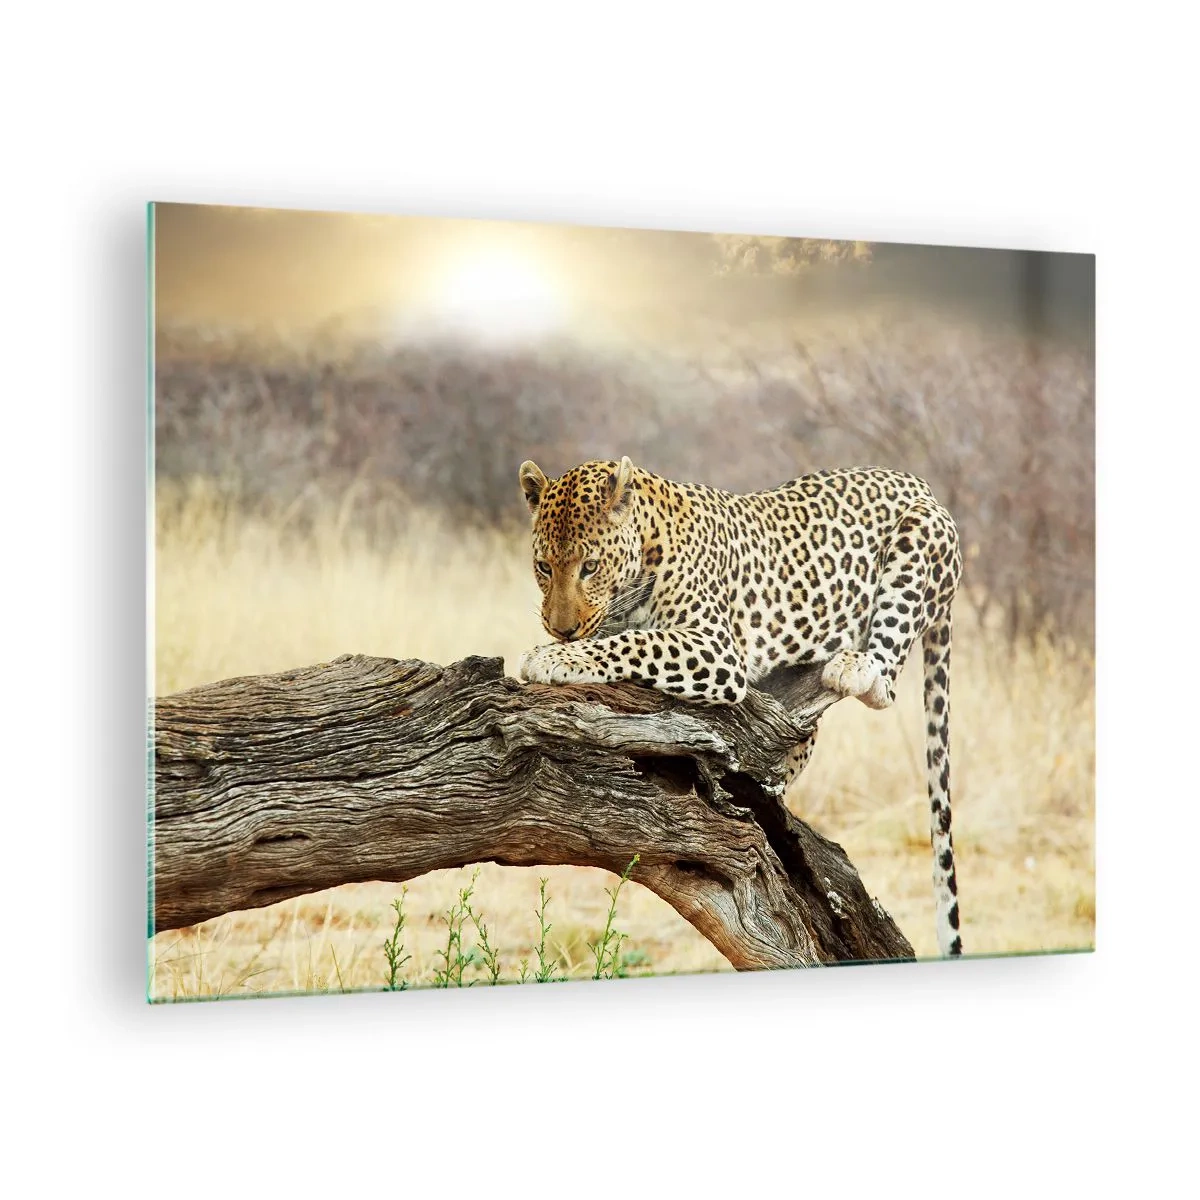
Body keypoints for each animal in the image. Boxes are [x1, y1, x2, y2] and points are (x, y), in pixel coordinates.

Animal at [515, 454, 965, 958]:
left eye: (590, 566)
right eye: (543, 566)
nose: (561, 629)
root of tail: (920, 483)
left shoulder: (715, 648)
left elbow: (633, 643)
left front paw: (553, 658)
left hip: (918, 540)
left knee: (884, 682)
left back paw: (853, 666)